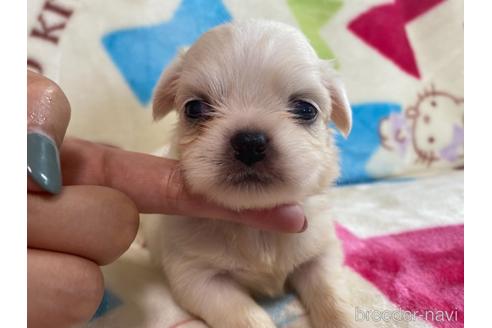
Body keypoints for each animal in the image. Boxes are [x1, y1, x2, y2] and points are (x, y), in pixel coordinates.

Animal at [142, 20, 358, 328]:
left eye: (306, 109)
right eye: (194, 108)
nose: (249, 142)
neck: (257, 228)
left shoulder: (320, 254)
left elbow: (332, 296)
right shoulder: (199, 278)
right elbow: (246, 316)